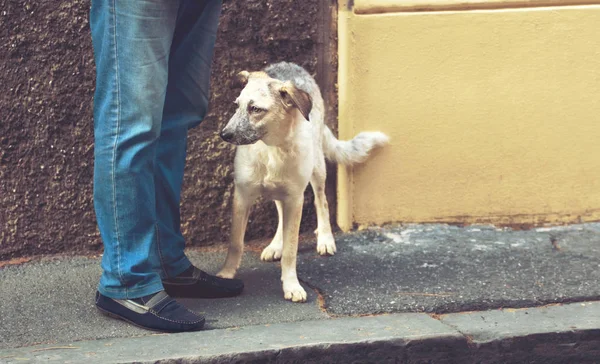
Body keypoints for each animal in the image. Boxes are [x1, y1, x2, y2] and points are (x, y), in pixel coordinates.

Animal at [216, 61, 390, 302]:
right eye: (236, 106)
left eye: (256, 109)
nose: (224, 134)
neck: (271, 148)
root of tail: (290, 64)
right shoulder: (243, 196)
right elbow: (235, 242)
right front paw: (226, 274)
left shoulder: (295, 198)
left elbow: (291, 250)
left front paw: (291, 285)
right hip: (282, 191)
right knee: (281, 213)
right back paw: (275, 245)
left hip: (315, 169)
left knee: (322, 202)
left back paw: (325, 238)